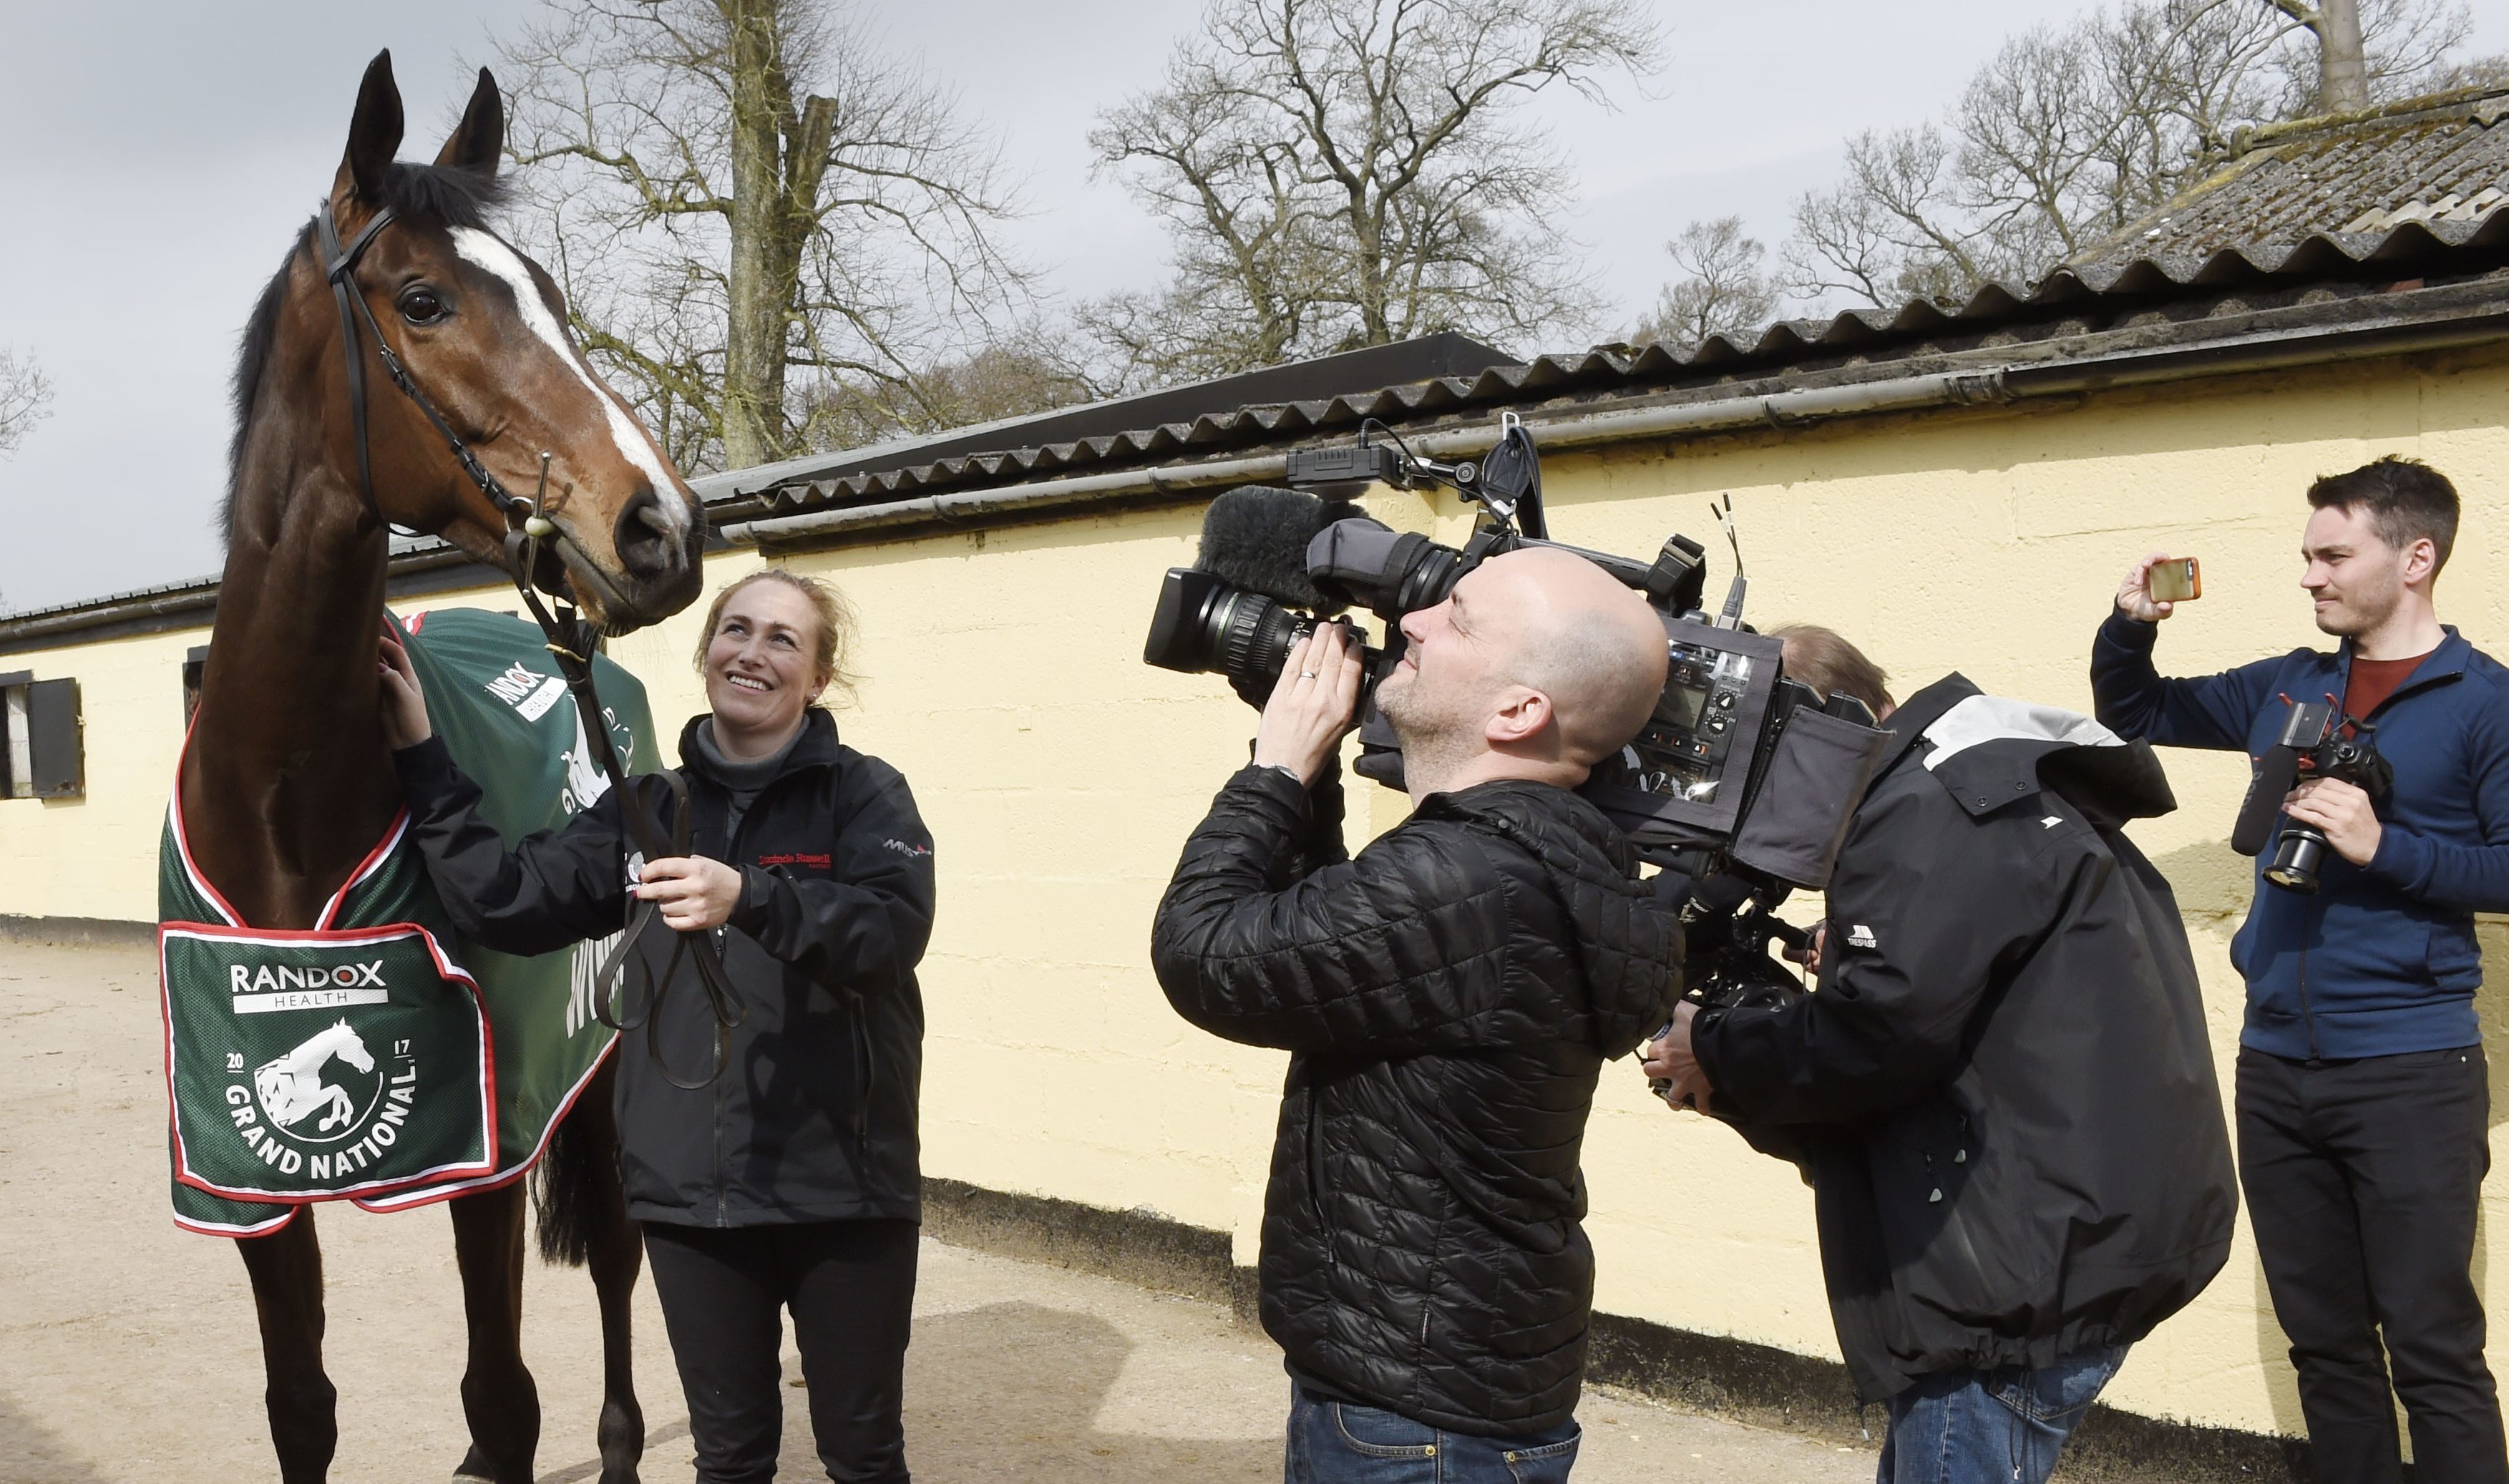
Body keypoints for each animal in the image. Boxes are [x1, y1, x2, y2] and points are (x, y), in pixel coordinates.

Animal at [189, 52, 707, 1473]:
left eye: (553, 295)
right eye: (422, 300)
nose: (659, 527)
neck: (284, 801)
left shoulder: (485, 1152)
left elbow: (503, 1396)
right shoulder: (249, 1182)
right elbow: (300, 1408)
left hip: (594, 1069)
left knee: (619, 1258)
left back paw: (625, 1439)